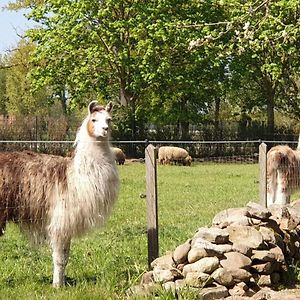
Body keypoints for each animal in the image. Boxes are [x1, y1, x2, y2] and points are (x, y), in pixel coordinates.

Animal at [0, 101, 119, 288]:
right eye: (94, 119)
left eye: (109, 119)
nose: (105, 129)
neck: (77, 177)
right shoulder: (60, 221)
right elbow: (59, 258)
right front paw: (57, 285)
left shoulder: (67, 223)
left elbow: (66, 257)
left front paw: (61, 283)